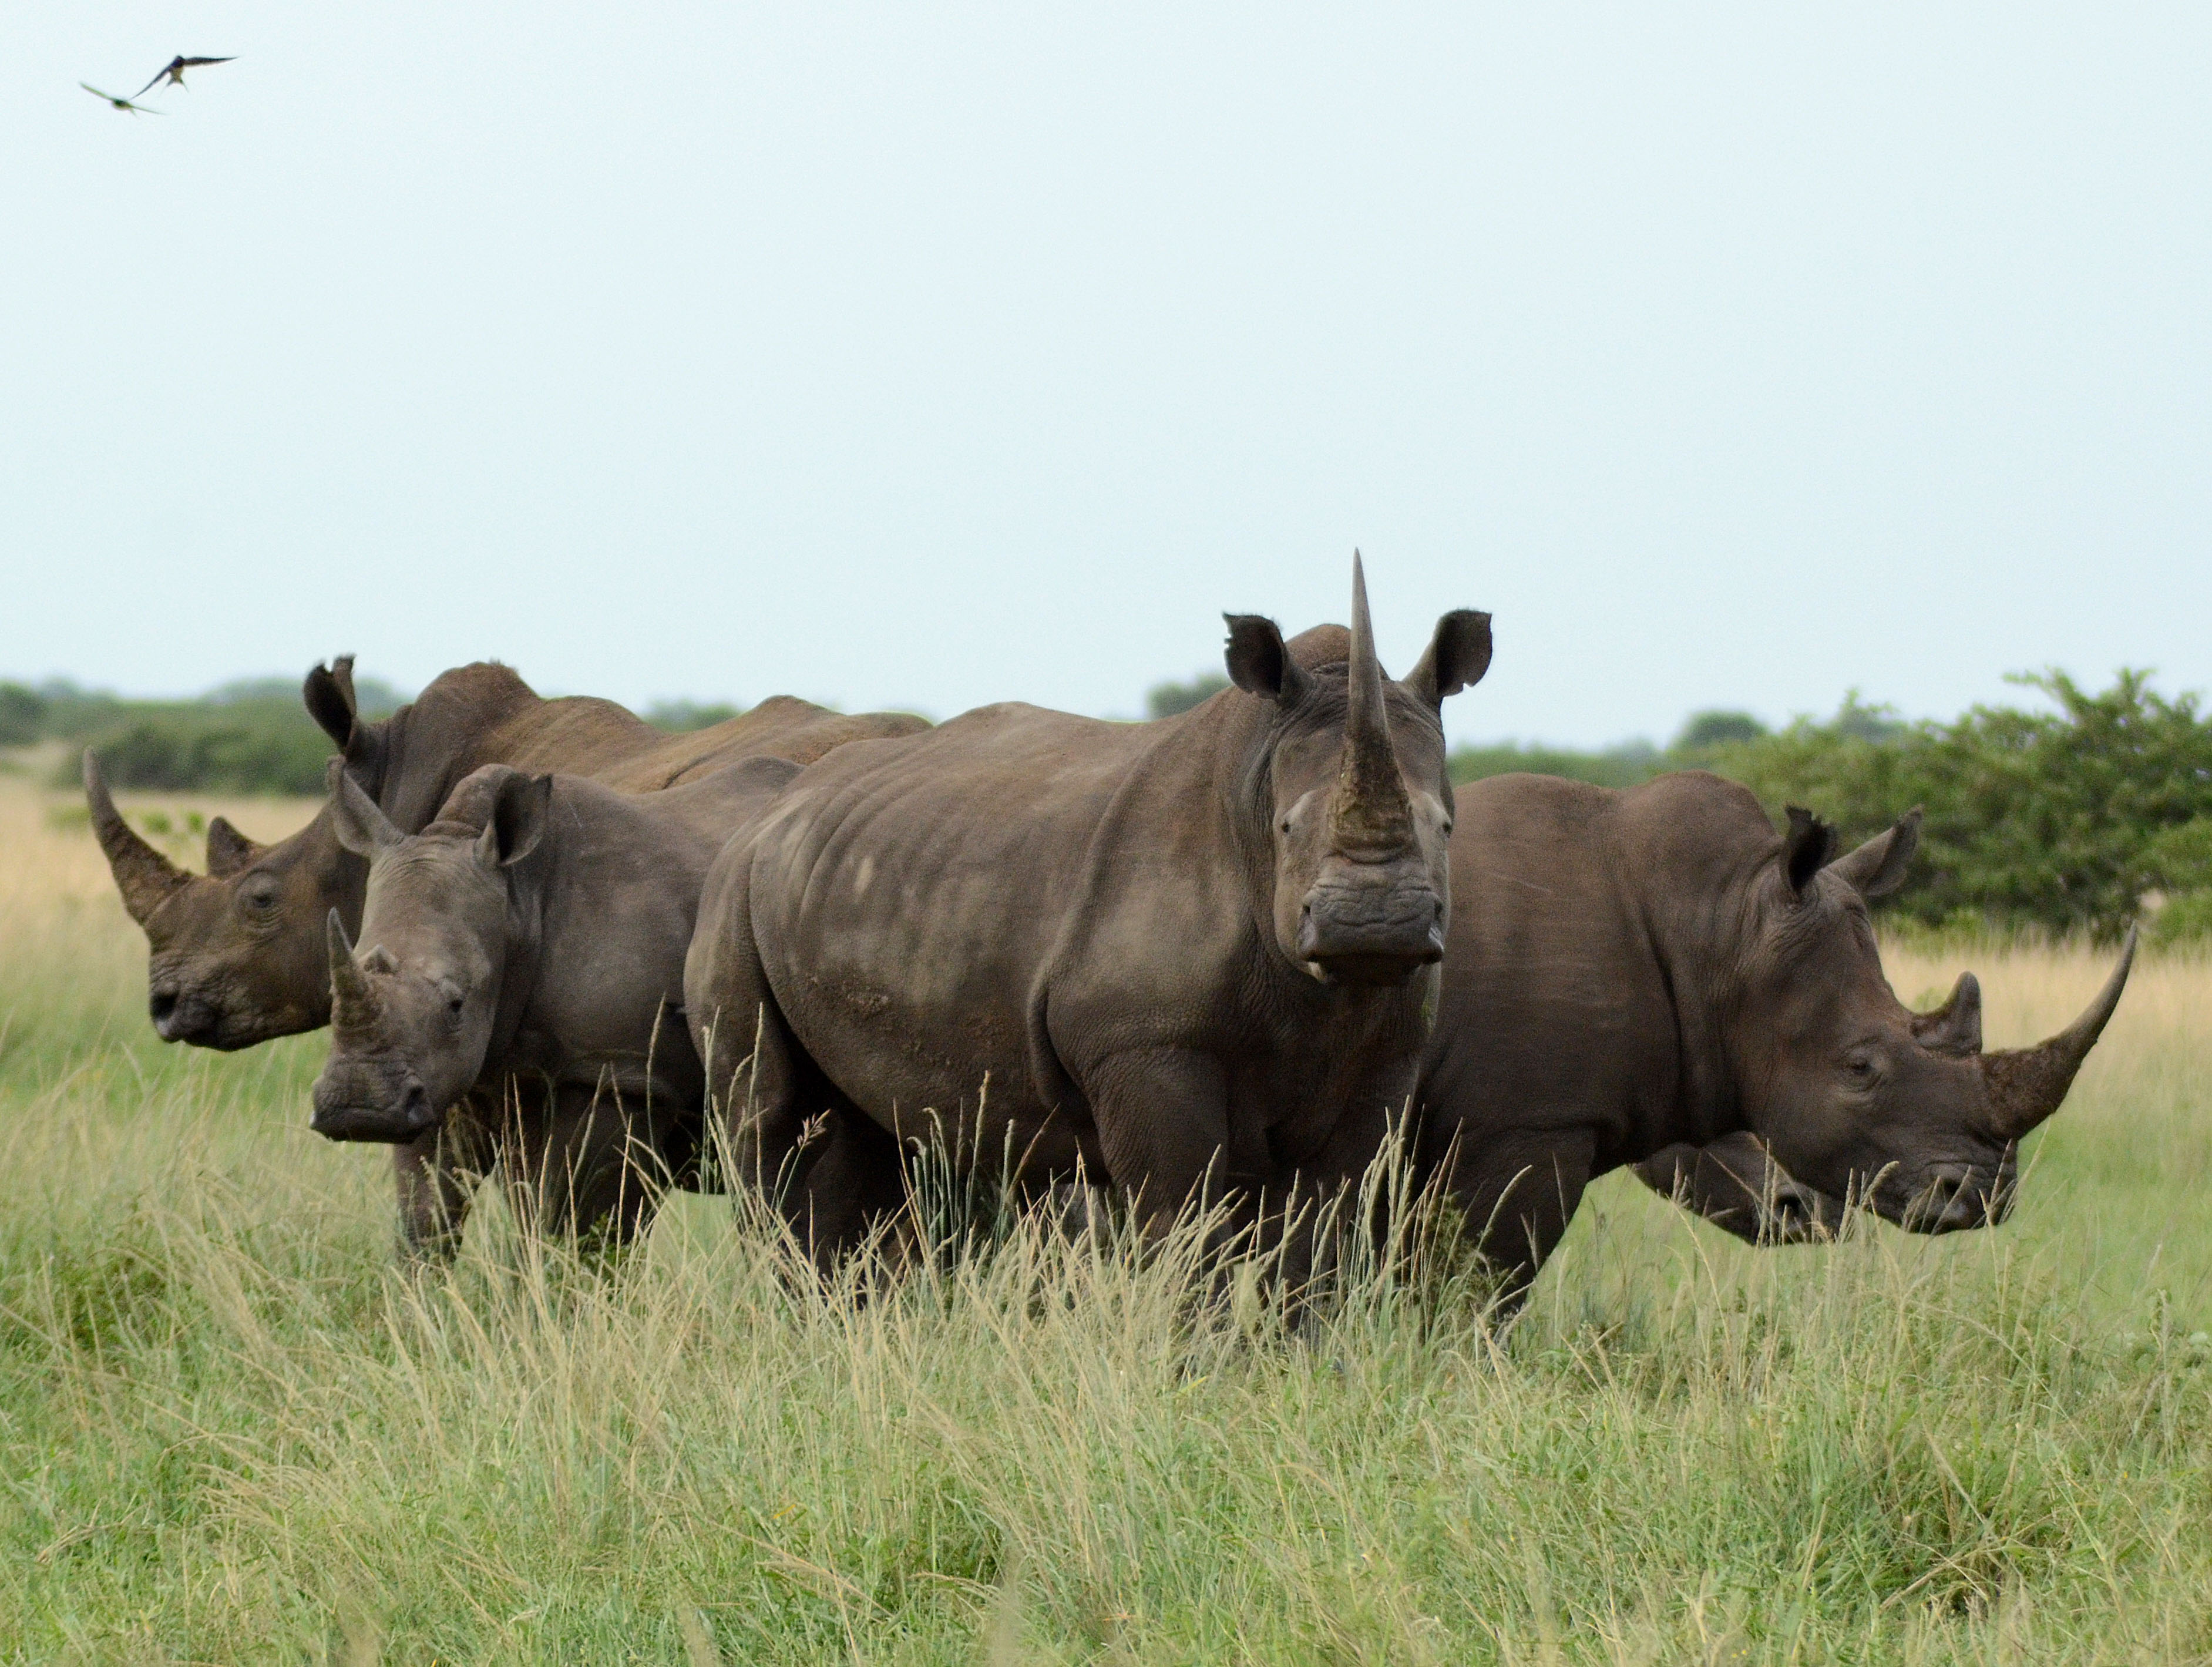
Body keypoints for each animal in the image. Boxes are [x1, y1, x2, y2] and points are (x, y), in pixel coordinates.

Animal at [307, 751, 801, 1238]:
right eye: (330, 993)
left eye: (457, 1005)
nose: (360, 1109)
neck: (518, 898)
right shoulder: (447, 1073)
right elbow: (426, 1209)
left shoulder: (615, 1073)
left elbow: (577, 1227)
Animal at [681, 554, 1495, 1255]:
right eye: (1288, 828)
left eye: (1446, 828)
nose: (1373, 926)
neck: (1254, 780)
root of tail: (772, 812)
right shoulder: (1145, 1042)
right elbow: (1180, 1217)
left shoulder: (1386, 1047)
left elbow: (1327, 1225)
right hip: (730, 898)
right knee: (770, 1132)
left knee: (867, 1146)